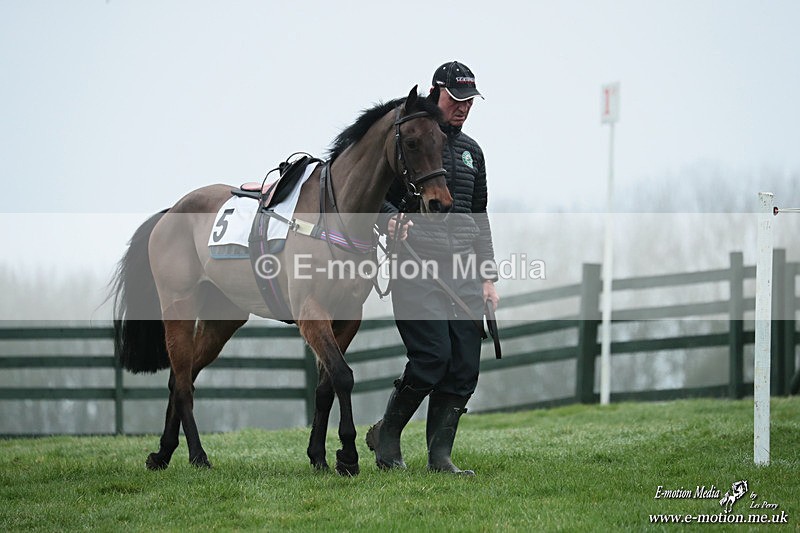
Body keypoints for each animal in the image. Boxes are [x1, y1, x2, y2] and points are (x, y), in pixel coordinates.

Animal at [111, 86, 452, 476]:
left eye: (442, 139)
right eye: (411, 141)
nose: (440, 203)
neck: (334, 213)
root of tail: (170, 213)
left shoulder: (347, 316)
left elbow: (326, 386)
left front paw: (319, 455)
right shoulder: (311, 314)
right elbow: (343, 375)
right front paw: (348, 455)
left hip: (222, 317)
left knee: (182, 377)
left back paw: (163, 452)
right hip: (179, 307)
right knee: (182, 383)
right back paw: (198, 455)